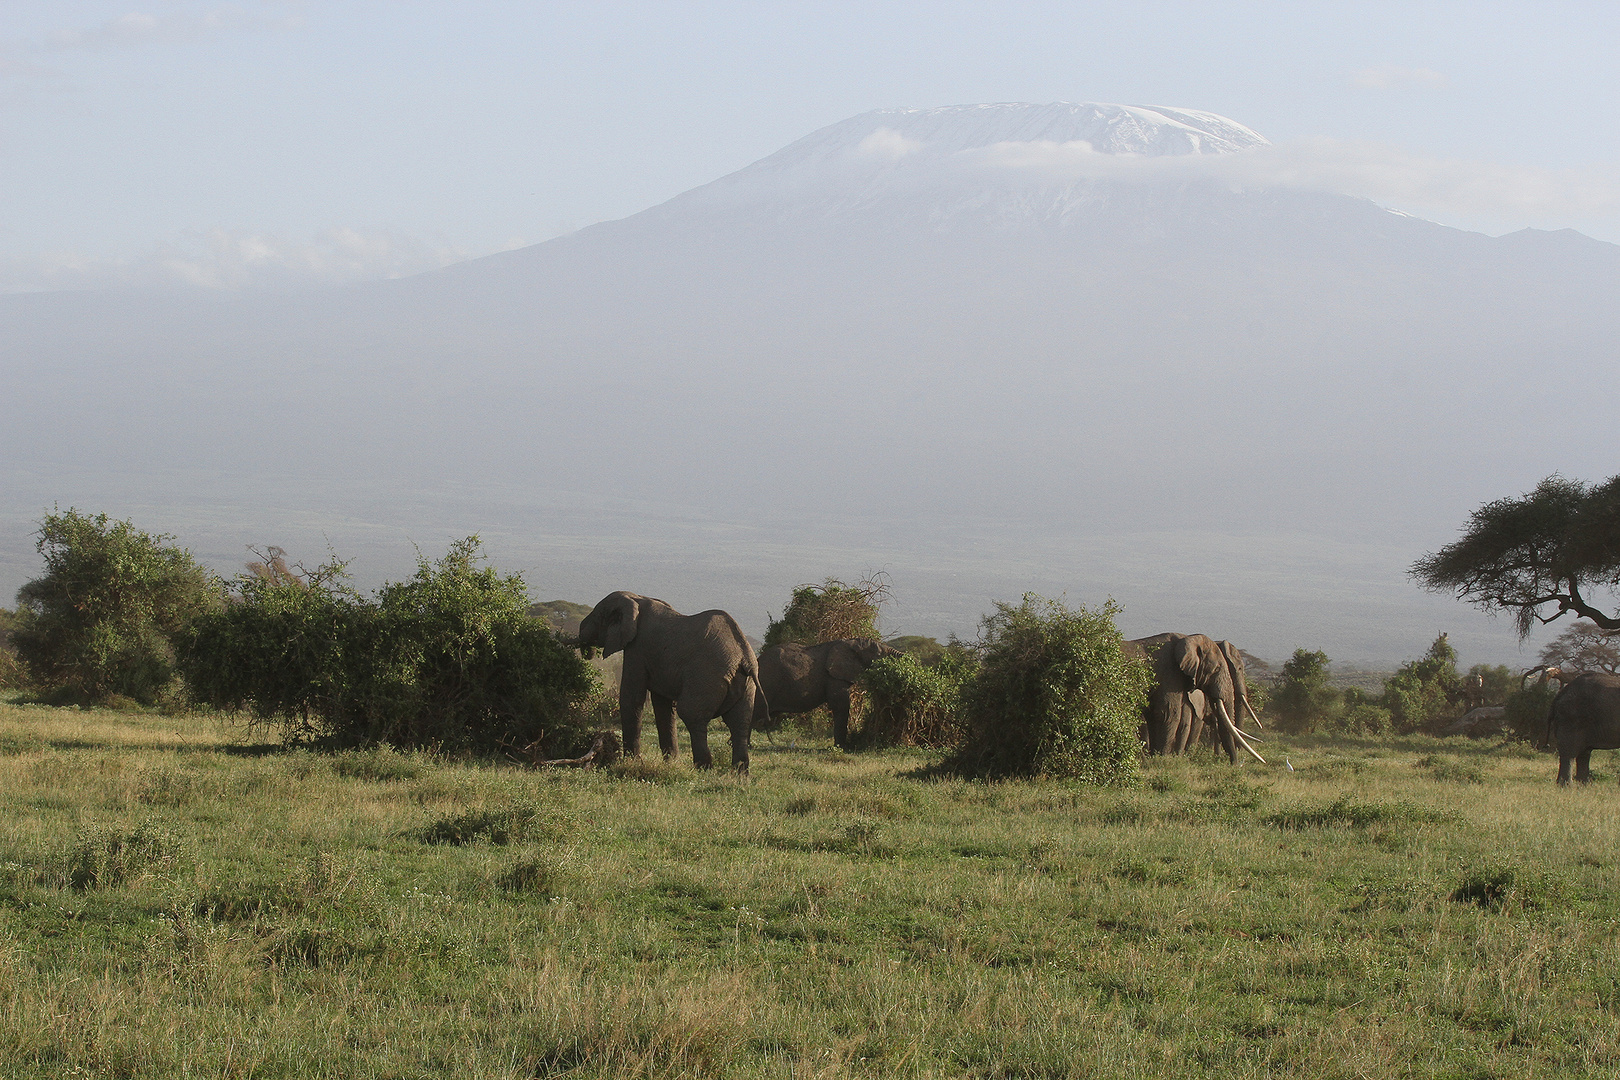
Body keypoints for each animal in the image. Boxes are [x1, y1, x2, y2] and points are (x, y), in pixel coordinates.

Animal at [576, 592, 764, 777]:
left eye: (597, 616)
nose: (586, 649)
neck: (637, 598)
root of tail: (745, 657)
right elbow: (663, 706)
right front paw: (670, 763)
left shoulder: (637, 648)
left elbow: (632, 698)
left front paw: (631, 762)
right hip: (746, 684)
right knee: (739, 723)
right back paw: (740, 775)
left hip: (706, 677)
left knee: (691, 715)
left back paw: (704, 769)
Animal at [751, 637, 907, 748]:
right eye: (880, 655)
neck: (852, 642)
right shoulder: (833, 677)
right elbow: (841, 705)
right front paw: (842, 747)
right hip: (765, 683)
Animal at [1127, 634, 1263, 767]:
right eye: (1217, 669)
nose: (1235, 764)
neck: (1186, 638)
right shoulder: (1170, 675)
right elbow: (1168, 715)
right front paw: (1163, 760)